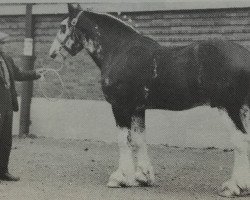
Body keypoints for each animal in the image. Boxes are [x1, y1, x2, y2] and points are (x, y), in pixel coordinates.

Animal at [48, 3, 250, 197]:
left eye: (63, 26)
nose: (52, 54)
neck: (119, 50)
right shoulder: (137, 109)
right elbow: (139, 140)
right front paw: (142, 177)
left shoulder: (120, 107)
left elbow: (124, 140)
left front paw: (120, 178)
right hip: (243, 109)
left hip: (228, 108)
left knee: (240, 142)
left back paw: (233, 187)